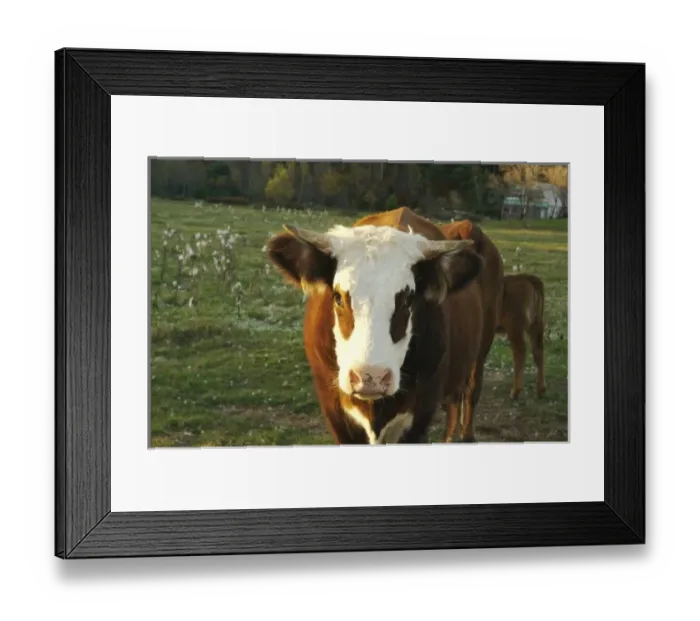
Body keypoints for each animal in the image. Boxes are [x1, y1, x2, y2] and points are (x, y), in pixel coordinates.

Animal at [265, 207, 485, 445]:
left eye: (408, 300)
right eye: (338, 297)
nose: (371, 378)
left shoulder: (421, 414)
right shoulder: (335, 412)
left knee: (470, 391)